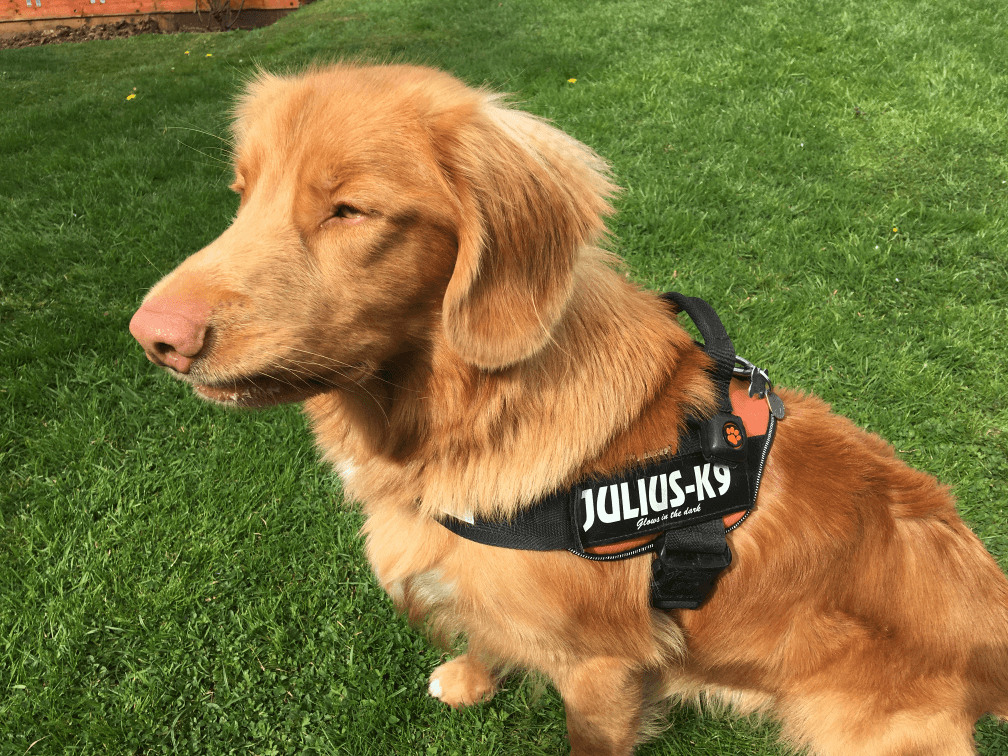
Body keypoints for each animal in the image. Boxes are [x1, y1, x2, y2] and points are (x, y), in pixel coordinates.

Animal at [132, 65, 1008, 756]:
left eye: (349, 210)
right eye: (243, 195)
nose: (154, 337)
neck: (465, 422)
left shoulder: (601, 669)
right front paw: (470, 676)